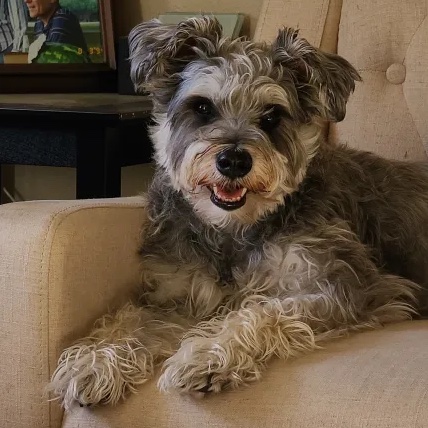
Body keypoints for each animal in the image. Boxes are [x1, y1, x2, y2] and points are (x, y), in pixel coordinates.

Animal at [47, 16, 428, 410]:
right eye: (202, 107)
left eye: (272, 116)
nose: (233, 160)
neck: (232, 231)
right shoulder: (175, 296)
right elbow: (129, 318)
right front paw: (95, 361)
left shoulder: (346, 288)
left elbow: (262, 311)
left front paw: (205, 355)